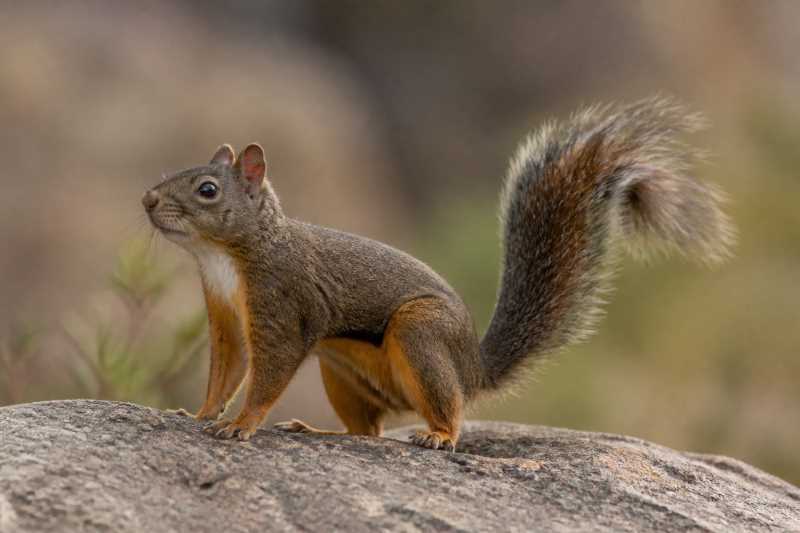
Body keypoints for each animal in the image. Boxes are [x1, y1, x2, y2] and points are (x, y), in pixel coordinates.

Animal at [142, 97, 733, 450]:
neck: (223, 258)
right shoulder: (225, 316)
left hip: (421, 333)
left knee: (440, 413)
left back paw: (440, 436)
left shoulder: (282, 306)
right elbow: (227, 370)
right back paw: (324, 428)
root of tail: (473, 368)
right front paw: (200, 413)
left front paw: (241, 424)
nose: (147, 200)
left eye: (207, 190)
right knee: (371, 430)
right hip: (342, 369)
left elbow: (267, 375)